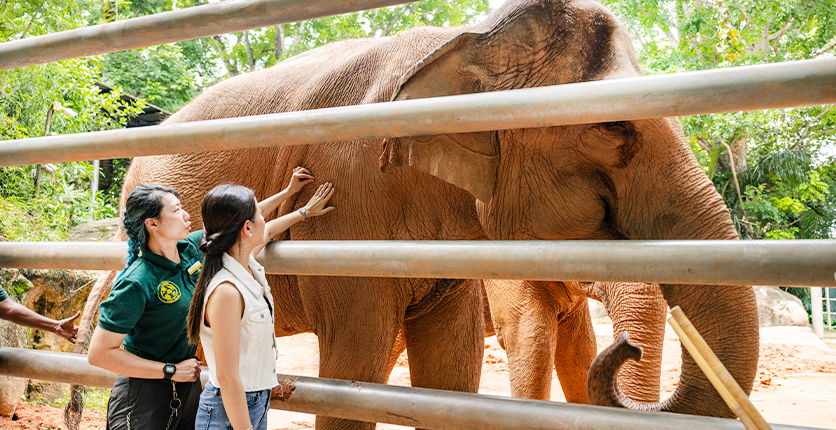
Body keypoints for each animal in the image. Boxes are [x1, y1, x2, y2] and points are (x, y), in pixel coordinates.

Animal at [76, 0, 756, 426]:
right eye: (613, 127)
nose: (629, 348)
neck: (465, 39)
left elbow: (452, 376)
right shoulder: (352, 210)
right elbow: (357, 369)